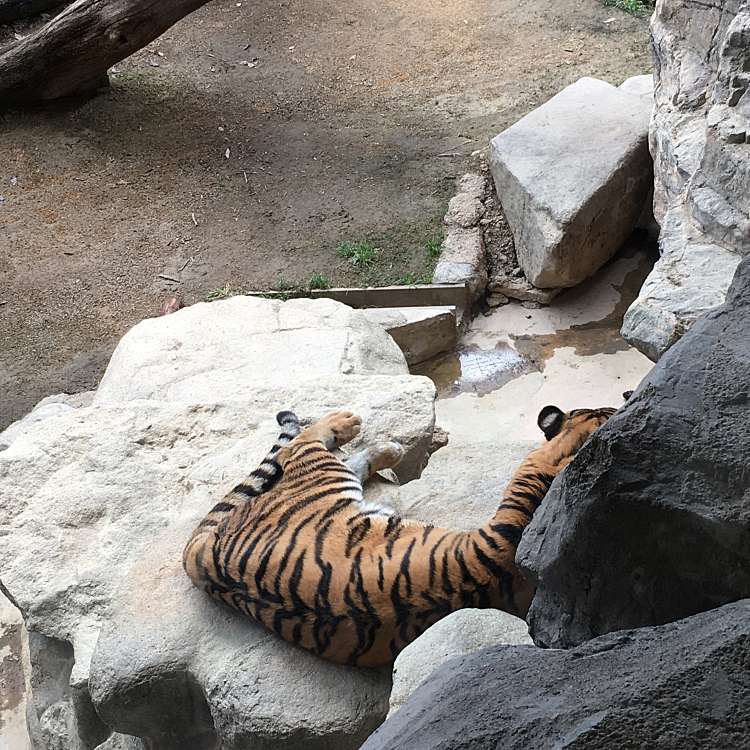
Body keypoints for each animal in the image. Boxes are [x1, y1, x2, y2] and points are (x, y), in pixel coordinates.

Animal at [184, 402, 616, 668]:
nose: (628, 395)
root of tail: (203, 553)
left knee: (348, 462)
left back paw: (388, 449)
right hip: (320, 473)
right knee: (302, 443)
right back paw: (352, 424)